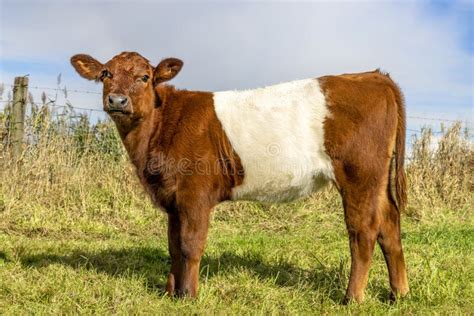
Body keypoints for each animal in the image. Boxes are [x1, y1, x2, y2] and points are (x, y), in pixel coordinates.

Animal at [70, 52, 408, 304]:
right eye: (105, 74)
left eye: (145, 77)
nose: (117, 101)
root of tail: (372, 75)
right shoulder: (173, 199)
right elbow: (173, 246)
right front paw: (170, 293)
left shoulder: (194, 193)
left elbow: (190, 245)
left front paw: (189, 296)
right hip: (375, 180)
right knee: (389, 224)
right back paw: (399, 294)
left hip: (358, 174)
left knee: (363, 230)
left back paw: (352, 298)